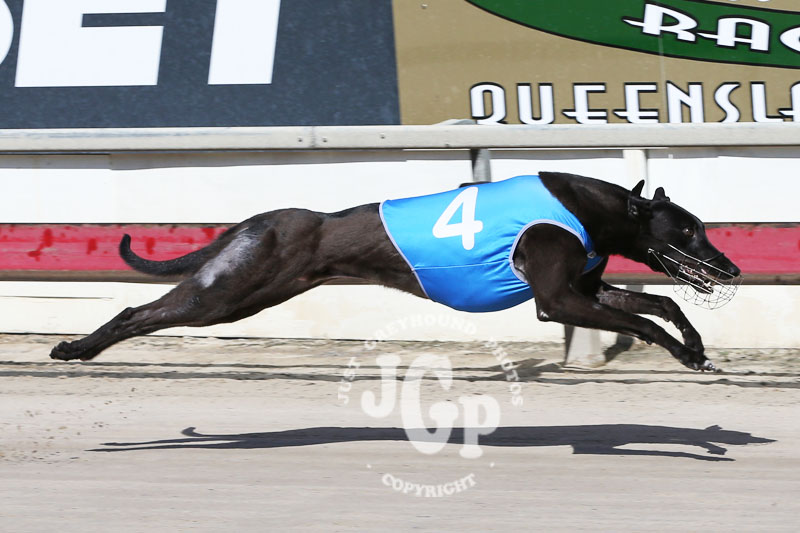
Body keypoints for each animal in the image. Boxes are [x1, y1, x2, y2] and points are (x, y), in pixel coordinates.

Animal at [49, 172, 741, 371]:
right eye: (687, 229)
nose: (731, 267)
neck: (591, 207)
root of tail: (259, 221)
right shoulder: (556, 300)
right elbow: (648, 324)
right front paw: (684, 355)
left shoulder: (585, 289)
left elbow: (663, 306)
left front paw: (697, 347)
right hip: (228, 294)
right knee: (137, 311)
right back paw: (74, 347)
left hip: (250, 292)